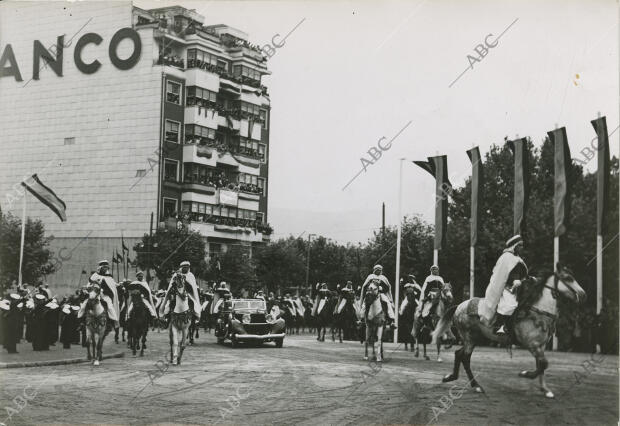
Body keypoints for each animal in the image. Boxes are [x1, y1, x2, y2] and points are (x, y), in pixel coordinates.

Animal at [434, 264, 584, 398]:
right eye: (568, 278)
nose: (583, 294)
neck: (537, 311)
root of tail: (460, 305)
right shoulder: (532, 345)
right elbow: (543, 364)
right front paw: (525, 374)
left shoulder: (540, 346)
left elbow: (541, 365)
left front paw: (545, 389)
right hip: (469, 338)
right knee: (464, 358)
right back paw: (475, 385)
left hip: (474, 338)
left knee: (459, 354)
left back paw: (452, 377)